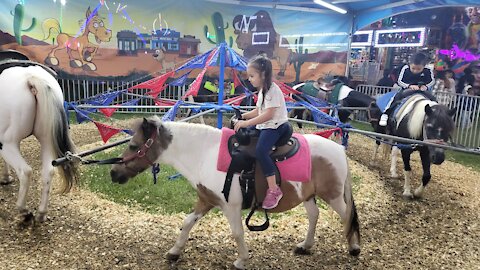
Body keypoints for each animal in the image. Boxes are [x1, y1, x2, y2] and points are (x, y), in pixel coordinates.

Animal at [0, 56, 78, 224]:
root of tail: (31, 78)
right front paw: (5, 177)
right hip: (46, 139)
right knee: (48, 171)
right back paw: (41, 214)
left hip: (8, 142)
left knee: (25, 172)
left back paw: (24, 211)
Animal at [109, 117, 360, 268]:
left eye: (133, 146)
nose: (113, 173)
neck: (204, 153)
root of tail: (339, 149)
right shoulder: (206, 199)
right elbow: (187, 222)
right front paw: (174, 252)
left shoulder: (230, 206)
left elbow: (237, 233)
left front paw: (241, 260)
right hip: (307, 196)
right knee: (314, 215)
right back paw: (305, 246)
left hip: (334, 196)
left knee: (347, 217)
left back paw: (354, 248)